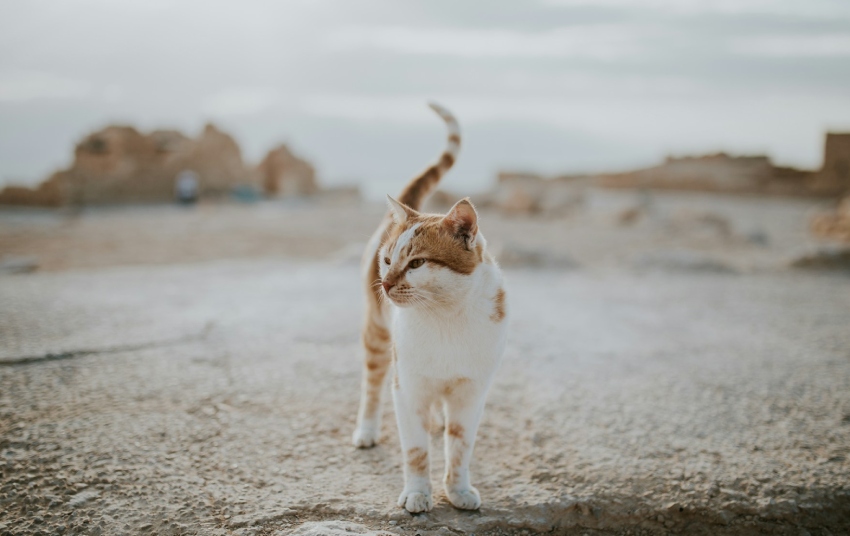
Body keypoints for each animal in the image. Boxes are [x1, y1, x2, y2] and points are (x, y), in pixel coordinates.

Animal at [352, 103, 506, 510]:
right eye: (388, 261)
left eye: (417, 263)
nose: (386, 283)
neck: (446, 318)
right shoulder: (407, 387)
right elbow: (416, 450)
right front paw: (418, 494)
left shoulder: (471, 392)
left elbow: (460, 446)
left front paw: (458, 491)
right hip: (377, 337)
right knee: (372, 385)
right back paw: (366, 430)